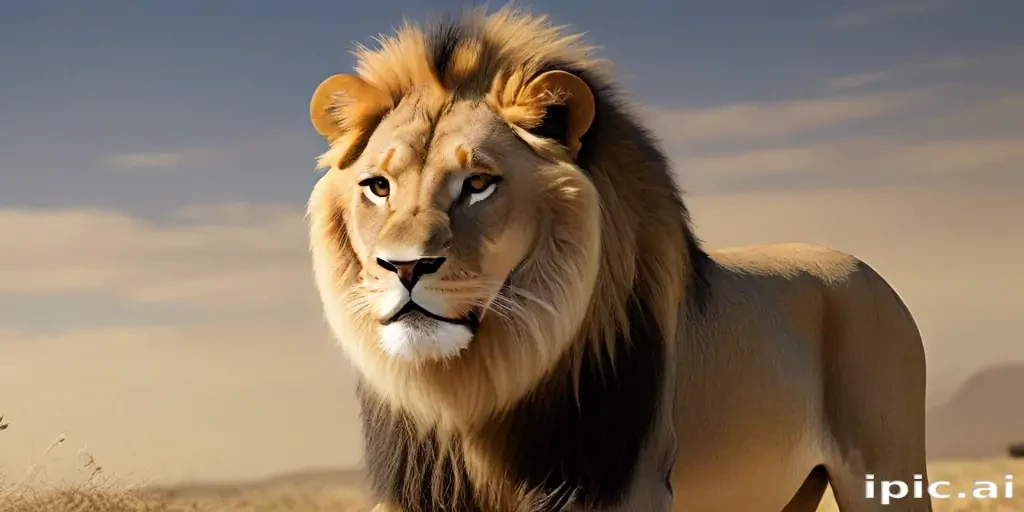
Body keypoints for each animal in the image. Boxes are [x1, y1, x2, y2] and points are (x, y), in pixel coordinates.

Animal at [304, 6, 931, 511]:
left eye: (478, 183)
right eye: (378, 187)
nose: (404, 268)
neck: (477, 397)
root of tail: (871, 274)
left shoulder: (625, 483)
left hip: (887, 468)